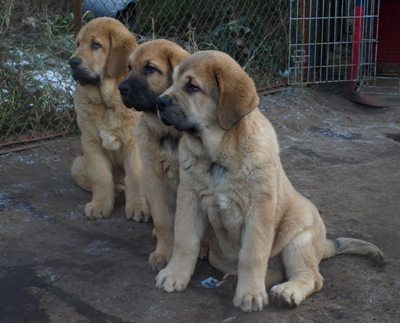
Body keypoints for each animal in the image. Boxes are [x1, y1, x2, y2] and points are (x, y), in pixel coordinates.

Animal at [69, 17, 150, 223]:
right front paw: (99, 205)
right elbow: (101, 177)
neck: (107, 103)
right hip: (78, 164)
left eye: (95, 45)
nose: (71, 61)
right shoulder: (90, 143)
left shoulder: (135, 144)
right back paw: (118, 194)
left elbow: (135, 177)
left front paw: (138, 207)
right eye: (78, 45)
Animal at [155, 51, 384, 314]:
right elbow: (184, 240)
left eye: (192, 87)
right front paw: (174, 275)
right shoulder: (189, 196)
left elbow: (252, 254)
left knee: (311, 276)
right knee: (274, 270)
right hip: (220, 256)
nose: (158, 103)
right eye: (172, 81)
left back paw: (286, 292)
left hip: (298, 236)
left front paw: (250, 294)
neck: (218, 156)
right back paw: (233, 281)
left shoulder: (259, 207)